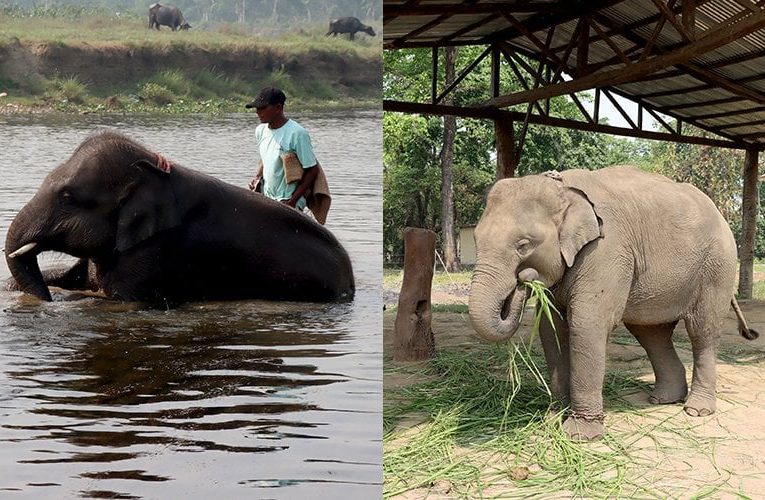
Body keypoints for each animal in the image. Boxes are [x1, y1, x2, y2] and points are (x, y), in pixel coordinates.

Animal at [468, 167, 756, 442]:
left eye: (523, 245)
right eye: (475, 238)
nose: (524, 280)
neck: (563, 189)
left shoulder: (606, 251)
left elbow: (587, 325)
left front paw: (580, 436)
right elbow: (552, 330)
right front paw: (553, 419)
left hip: (717, 267)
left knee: (701, 331)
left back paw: (696, 409)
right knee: (653, 335)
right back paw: (663, 399)